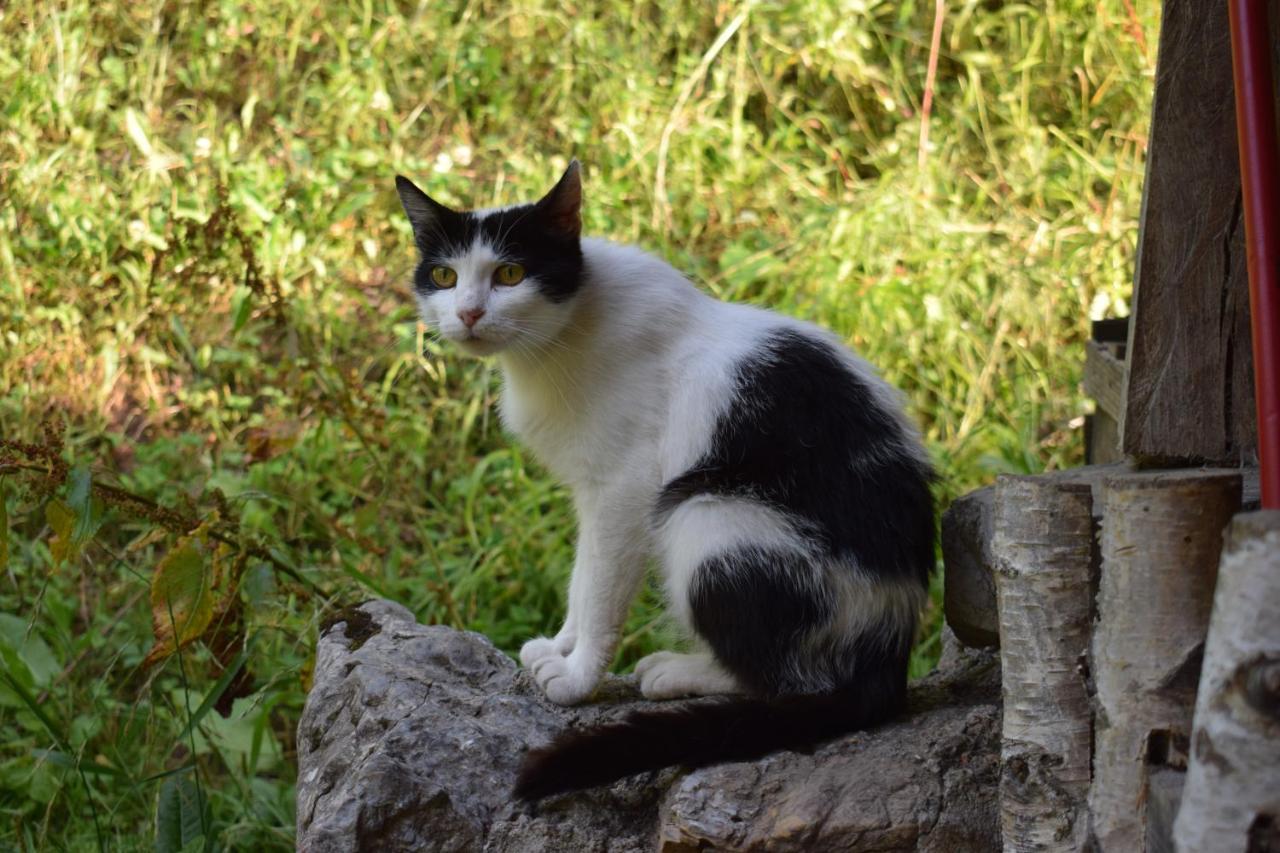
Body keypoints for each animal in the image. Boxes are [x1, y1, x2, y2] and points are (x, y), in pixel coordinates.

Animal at [394, 159, 936, 799]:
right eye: (444, 275)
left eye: (509, 273)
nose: (469, 314)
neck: (562, 336)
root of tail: (891, 649)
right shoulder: (592, 492)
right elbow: (583, 577)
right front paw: (560, 646)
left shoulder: (626, 489)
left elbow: (602, 590)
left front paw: (578, 678)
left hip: (707, 515)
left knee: (791, 680)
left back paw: (676, 672)